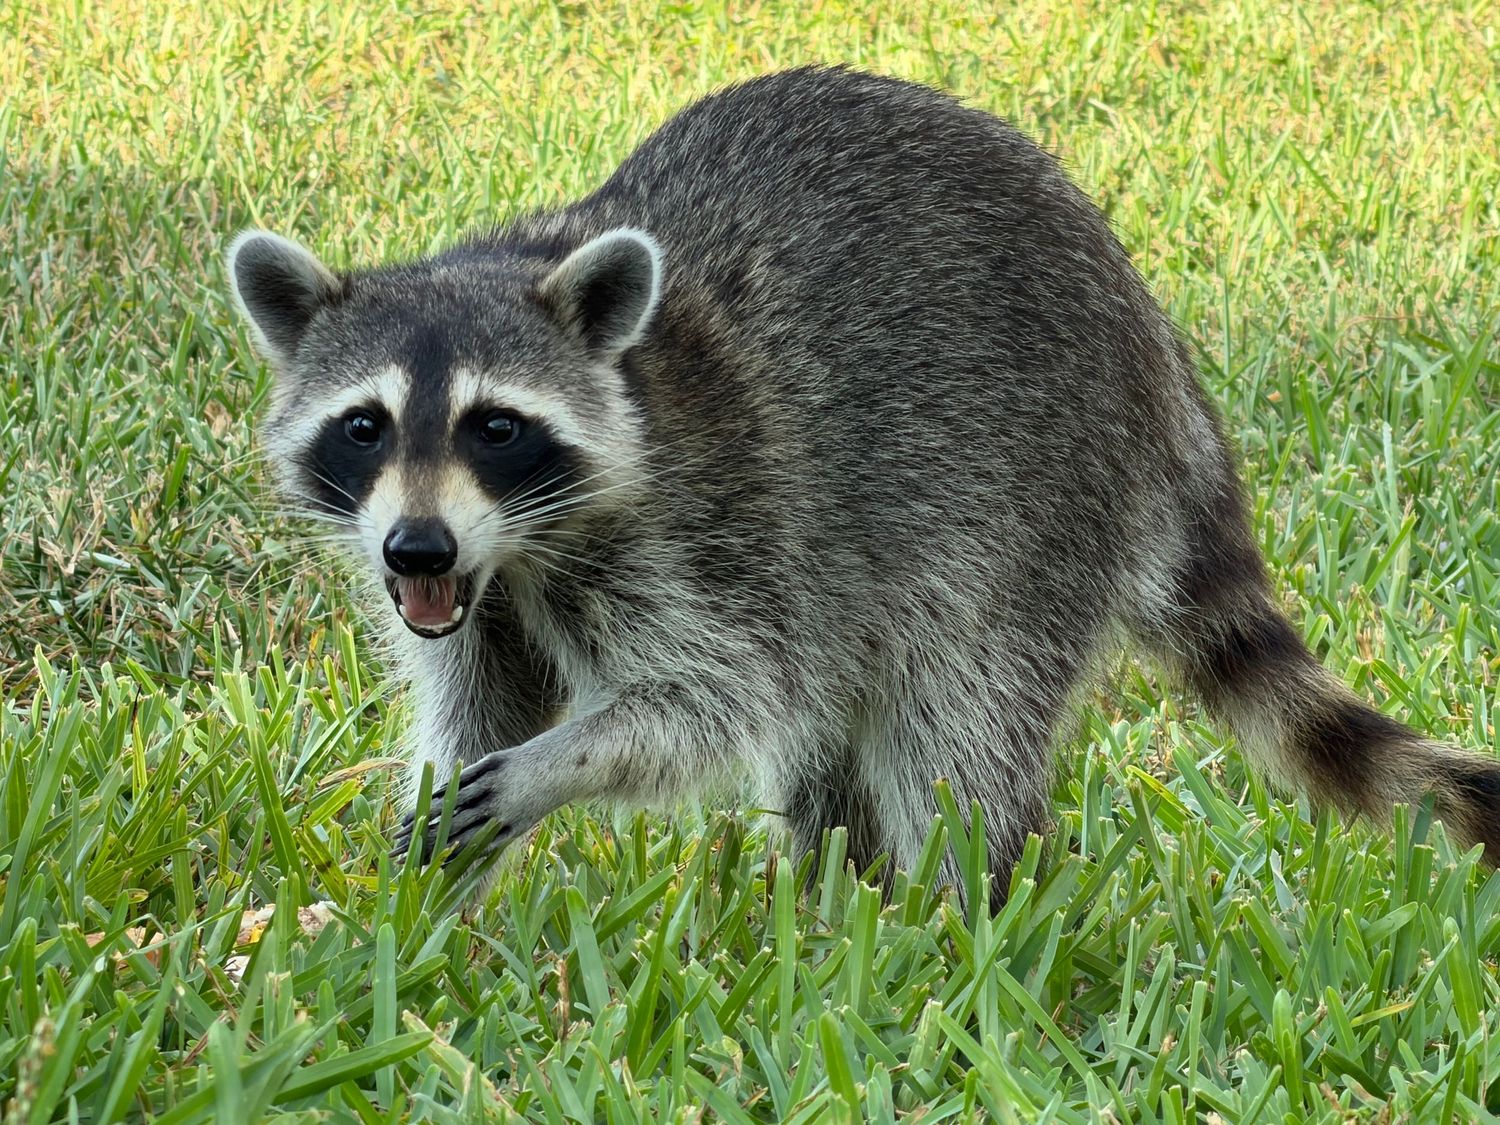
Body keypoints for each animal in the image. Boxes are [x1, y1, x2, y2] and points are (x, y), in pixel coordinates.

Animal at [228, 66, 1499, 901]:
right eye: (364, 427)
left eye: (496, 427)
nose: (417, 551)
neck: (521, 545)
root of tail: (1157, 349)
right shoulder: (481, 599)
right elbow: (481, 704)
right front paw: (425, 909)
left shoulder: (715, 525)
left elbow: (715, 702)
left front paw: (558, 768)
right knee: (835, 747)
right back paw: (841, 903)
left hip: (1031, 503)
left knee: (957, 725)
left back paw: (963, 914)